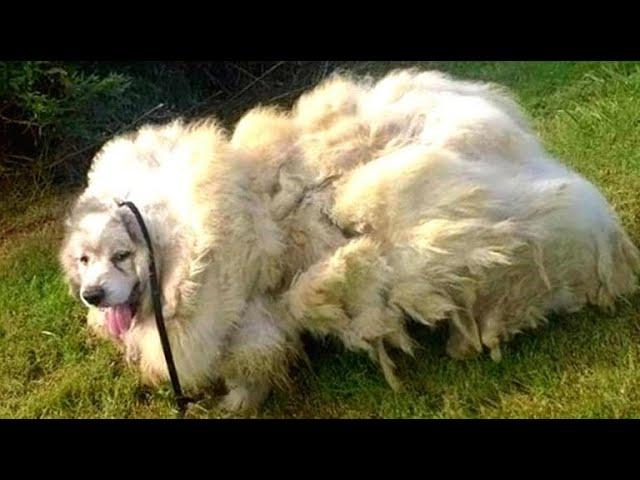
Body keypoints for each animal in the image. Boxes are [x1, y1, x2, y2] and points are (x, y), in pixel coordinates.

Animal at [60, 68, 640, 412]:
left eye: (122, 256)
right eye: (84, 260)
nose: (93, 295)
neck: (180, 242)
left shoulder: (247, 320)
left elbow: (250, 364)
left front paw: (238, 404)